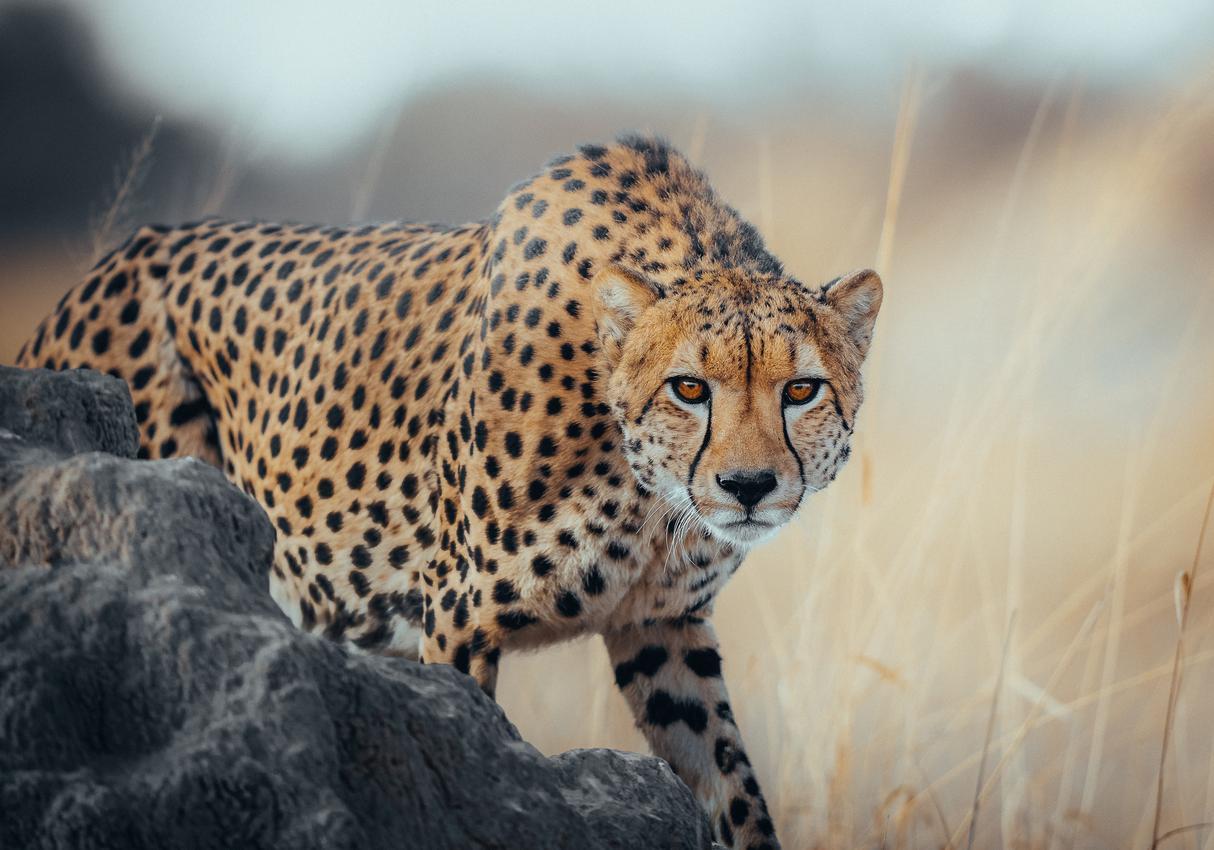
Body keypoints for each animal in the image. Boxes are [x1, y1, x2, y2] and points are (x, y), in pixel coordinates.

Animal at [17, 135, 883, 850]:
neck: (645, 494)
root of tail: (105, 267)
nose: (748, 486)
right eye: (690, 388)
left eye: (801, 389)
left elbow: (730, 787)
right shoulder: (458, 614)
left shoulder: (661, 623)